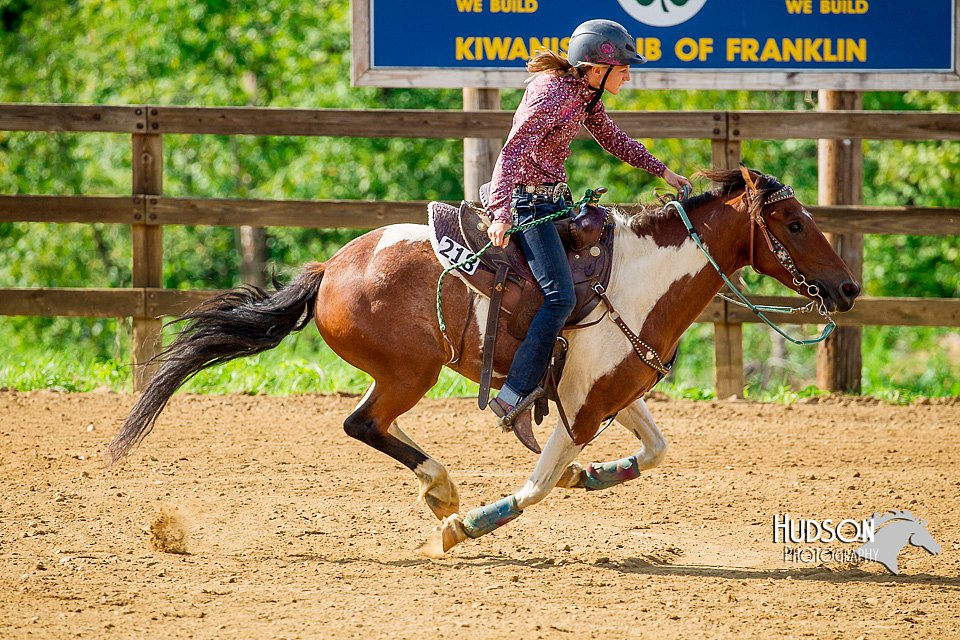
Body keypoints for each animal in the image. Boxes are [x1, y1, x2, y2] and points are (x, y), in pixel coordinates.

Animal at [109, 165, 860, 556]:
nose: (849, 289)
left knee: (372, 425)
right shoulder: (581, 408)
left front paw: (588, 477)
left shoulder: (613, 392)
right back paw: (443, 494)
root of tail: (331, 269)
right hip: (411, 371)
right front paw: (464, 528)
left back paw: (439, 488)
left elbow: (654, 450)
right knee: (363, 424)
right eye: (794, 224)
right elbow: (533, 488)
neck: (641, 278)